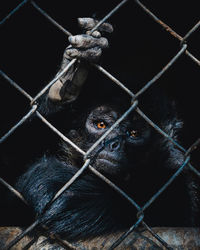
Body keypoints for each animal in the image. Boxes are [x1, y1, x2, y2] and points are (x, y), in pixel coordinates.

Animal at [13, 17, 198, 240]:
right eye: (102, 125)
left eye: (133, 133)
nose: (112, 143)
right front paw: (71, 78)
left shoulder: (175, 169)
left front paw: (50, 183)